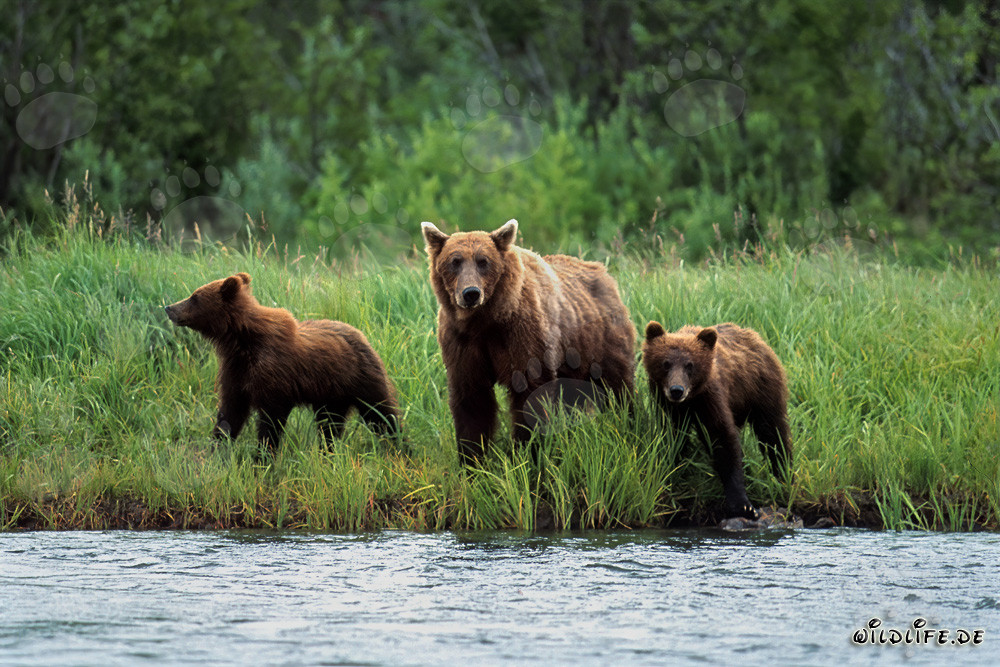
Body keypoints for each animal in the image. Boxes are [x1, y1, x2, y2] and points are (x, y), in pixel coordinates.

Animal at [165, 272, 399, 453]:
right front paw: (217, 450)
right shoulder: (236, 371)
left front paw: (262, 458)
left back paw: (398, 447)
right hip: (331, 394)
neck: (241, 341)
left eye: (194, 297)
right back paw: (327, 452)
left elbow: (271, 421)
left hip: (360, 378)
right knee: (329, 425)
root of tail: (362, 335)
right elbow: (230, 412)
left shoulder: (274, 374)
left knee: (381, 414)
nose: (169, 307)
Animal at [421, 218, 636, 465]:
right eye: (455, 262)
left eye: (483, 261)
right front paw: (472, 459)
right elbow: (472, 398)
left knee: (618, 386)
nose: (471, 293)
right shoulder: (463, 342)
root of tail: (603, 273)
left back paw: (630, 422)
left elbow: (530, 393)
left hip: (601, 341)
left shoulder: (522, 335)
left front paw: (528, 452)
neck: (487, 321)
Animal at [641, 321, 792, 519]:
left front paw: (744, 505)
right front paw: (674, 468)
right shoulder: (668, 406)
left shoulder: (711, 398)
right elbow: (673, 438)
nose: (676, 390)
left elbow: (723, 439)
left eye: (690, 365)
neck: (691, 400)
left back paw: (784, 472)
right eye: (665, 363)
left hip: (762, 388)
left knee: (772, 432)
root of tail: (757, 338)